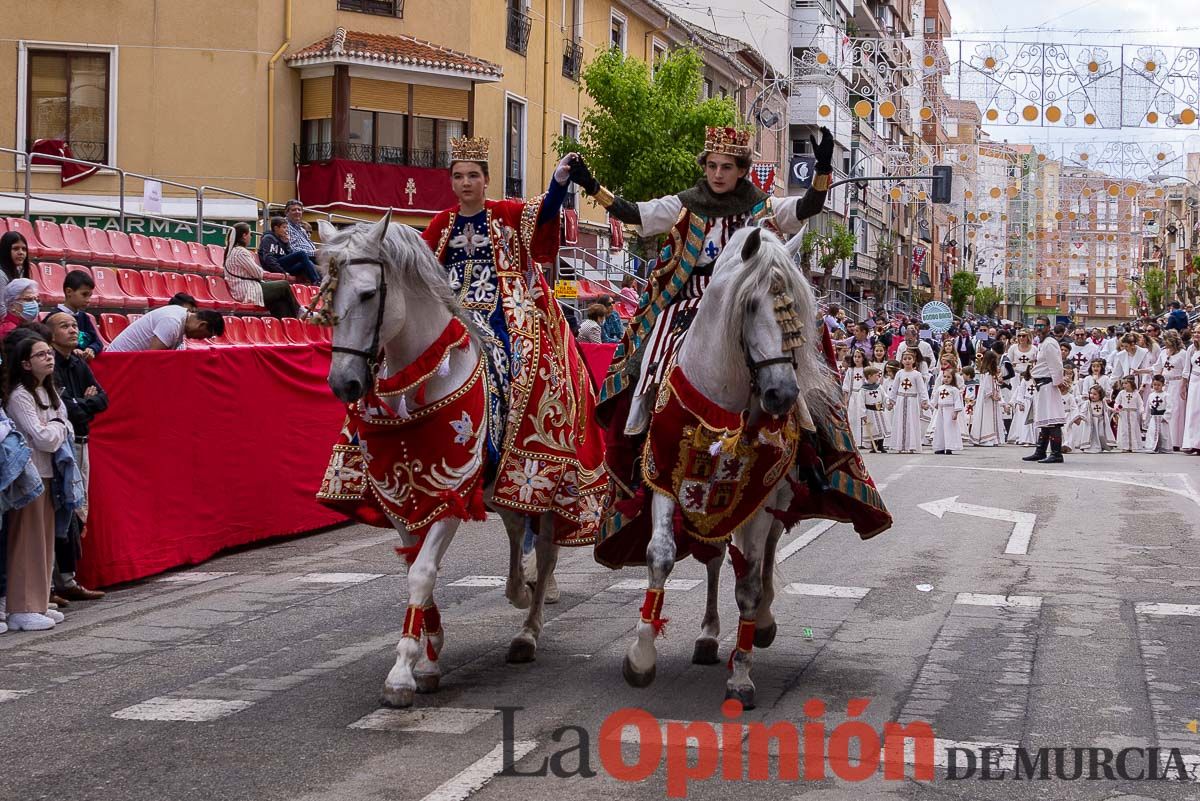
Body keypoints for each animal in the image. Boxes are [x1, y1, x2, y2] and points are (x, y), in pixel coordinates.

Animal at [319, 214, 561, 705]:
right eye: (328, 293)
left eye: (369, 293)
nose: (344, 383)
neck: (420, 378)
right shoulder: (400, 499)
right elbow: (415, 568)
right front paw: (429, 659)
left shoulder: (450, 490)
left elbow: (423, 572)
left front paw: (402, 672)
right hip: (499, 485)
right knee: (514, 530)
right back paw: (517, 591)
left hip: (532, 487)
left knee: (543, 552)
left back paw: (528, 629)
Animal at [624, 224, 830, 705]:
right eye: (750, 305)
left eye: (797, 310)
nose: (781, 395)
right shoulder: (665, 480)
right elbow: (660, 555)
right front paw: (641, 654)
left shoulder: (758, 495)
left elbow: (750, 586)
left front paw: (742, 674)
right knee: (716, 557)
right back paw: (706, 636)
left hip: (774, 498)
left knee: (765, 553)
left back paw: (763, 625)